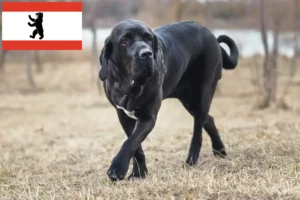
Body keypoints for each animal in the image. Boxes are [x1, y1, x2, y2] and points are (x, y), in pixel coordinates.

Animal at [99, 19, 238, 180]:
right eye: (125, 41)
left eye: (148, 38)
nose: (146, 54)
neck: (130, 85)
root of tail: (212, 36)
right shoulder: (123, 115)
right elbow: (136, 145)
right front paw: (139, 173)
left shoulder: (148, 117)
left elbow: (131, 142)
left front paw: (117, 168)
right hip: (189, 101)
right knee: (209, 120)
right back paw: (219, 150)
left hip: (203, 94)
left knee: (197, 133)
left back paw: (191, 161)